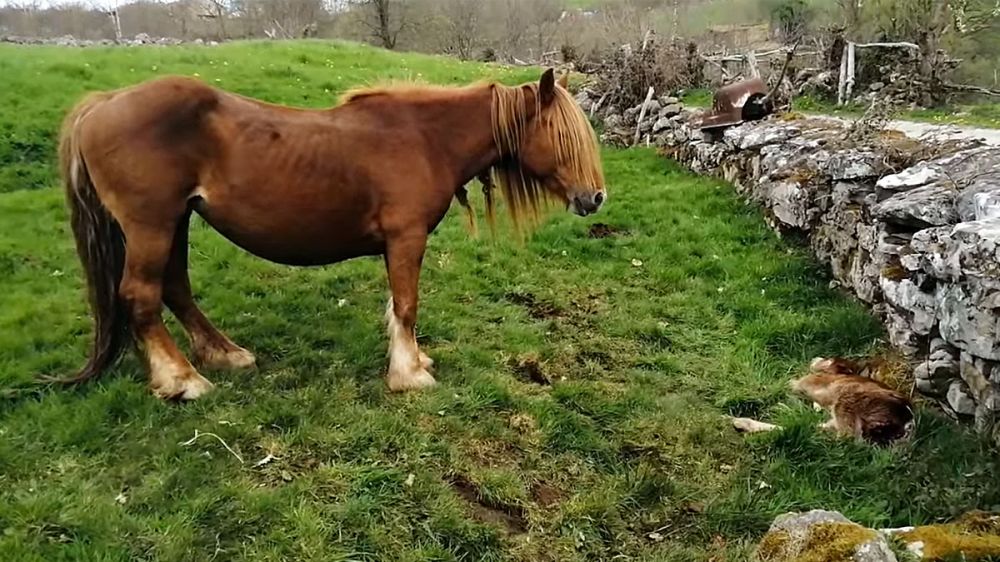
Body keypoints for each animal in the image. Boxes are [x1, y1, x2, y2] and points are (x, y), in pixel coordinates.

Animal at [58, 68, 604, 396]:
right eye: (561, 136)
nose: (595, 198)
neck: (426, 139)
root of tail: (103, 103)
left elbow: (397, 306)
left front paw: (412, 360)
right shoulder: (406, 238)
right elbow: (407, 305)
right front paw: (409, 373)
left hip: (176, 222)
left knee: (174, 289)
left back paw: (225, 355)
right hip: (152, 225)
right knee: (142, 296)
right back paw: (182, 380)